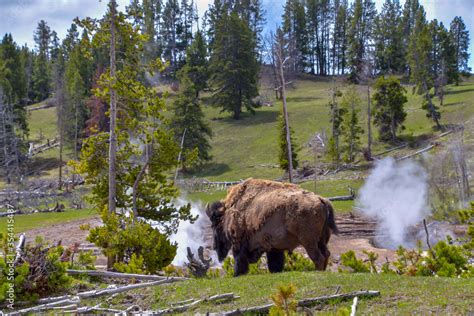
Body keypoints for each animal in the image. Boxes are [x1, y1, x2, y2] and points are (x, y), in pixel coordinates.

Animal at [206, 179, 336, 276]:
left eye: (214, 225)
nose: (214, 246)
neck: (229, 210)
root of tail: (321, 200)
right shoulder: (274, 248)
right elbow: (274, 264)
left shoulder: (239, 244)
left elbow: (239, 260)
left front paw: (237, 274)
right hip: (321, 240)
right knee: (326, 254)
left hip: (309, 242)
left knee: (318, 257)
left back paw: (318, 271)